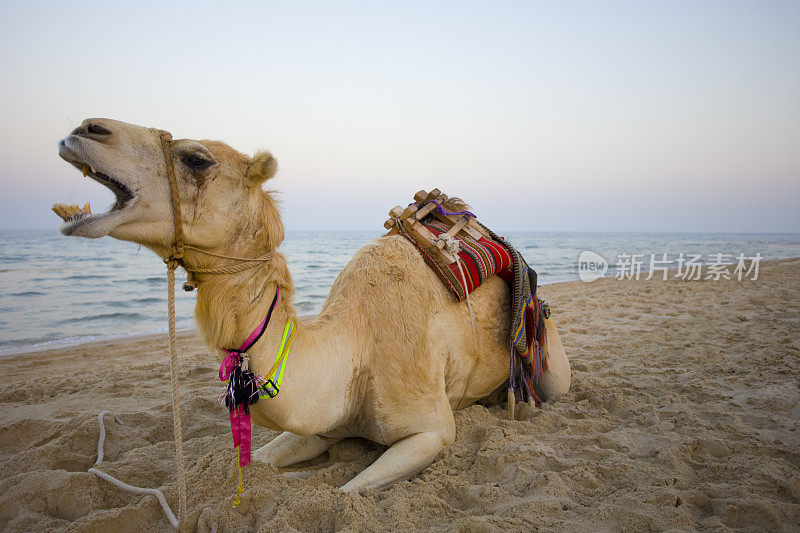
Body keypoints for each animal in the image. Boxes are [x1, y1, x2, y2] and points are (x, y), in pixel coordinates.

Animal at [54, 118, 568, 492]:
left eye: (197, 159)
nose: (85, 128)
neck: (354, 347)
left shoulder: (431, 431)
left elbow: (348, 491)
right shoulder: (319, 423)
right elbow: (258, 461)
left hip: (549, 356)